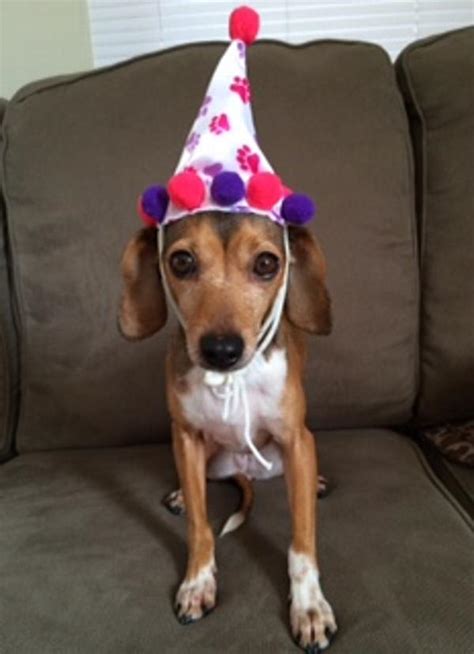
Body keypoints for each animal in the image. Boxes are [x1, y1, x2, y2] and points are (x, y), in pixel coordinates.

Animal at [118, 213, 336, 652]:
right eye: (181, 261)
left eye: (267, 264)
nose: (221, 350)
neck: (234, 380)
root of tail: (244, 470)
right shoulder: (185, 438)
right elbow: (200, 527)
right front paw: (197, 582)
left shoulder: (297, 441)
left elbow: (302, 541)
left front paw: (308, 606)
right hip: (209, 459)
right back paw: (181, 495)